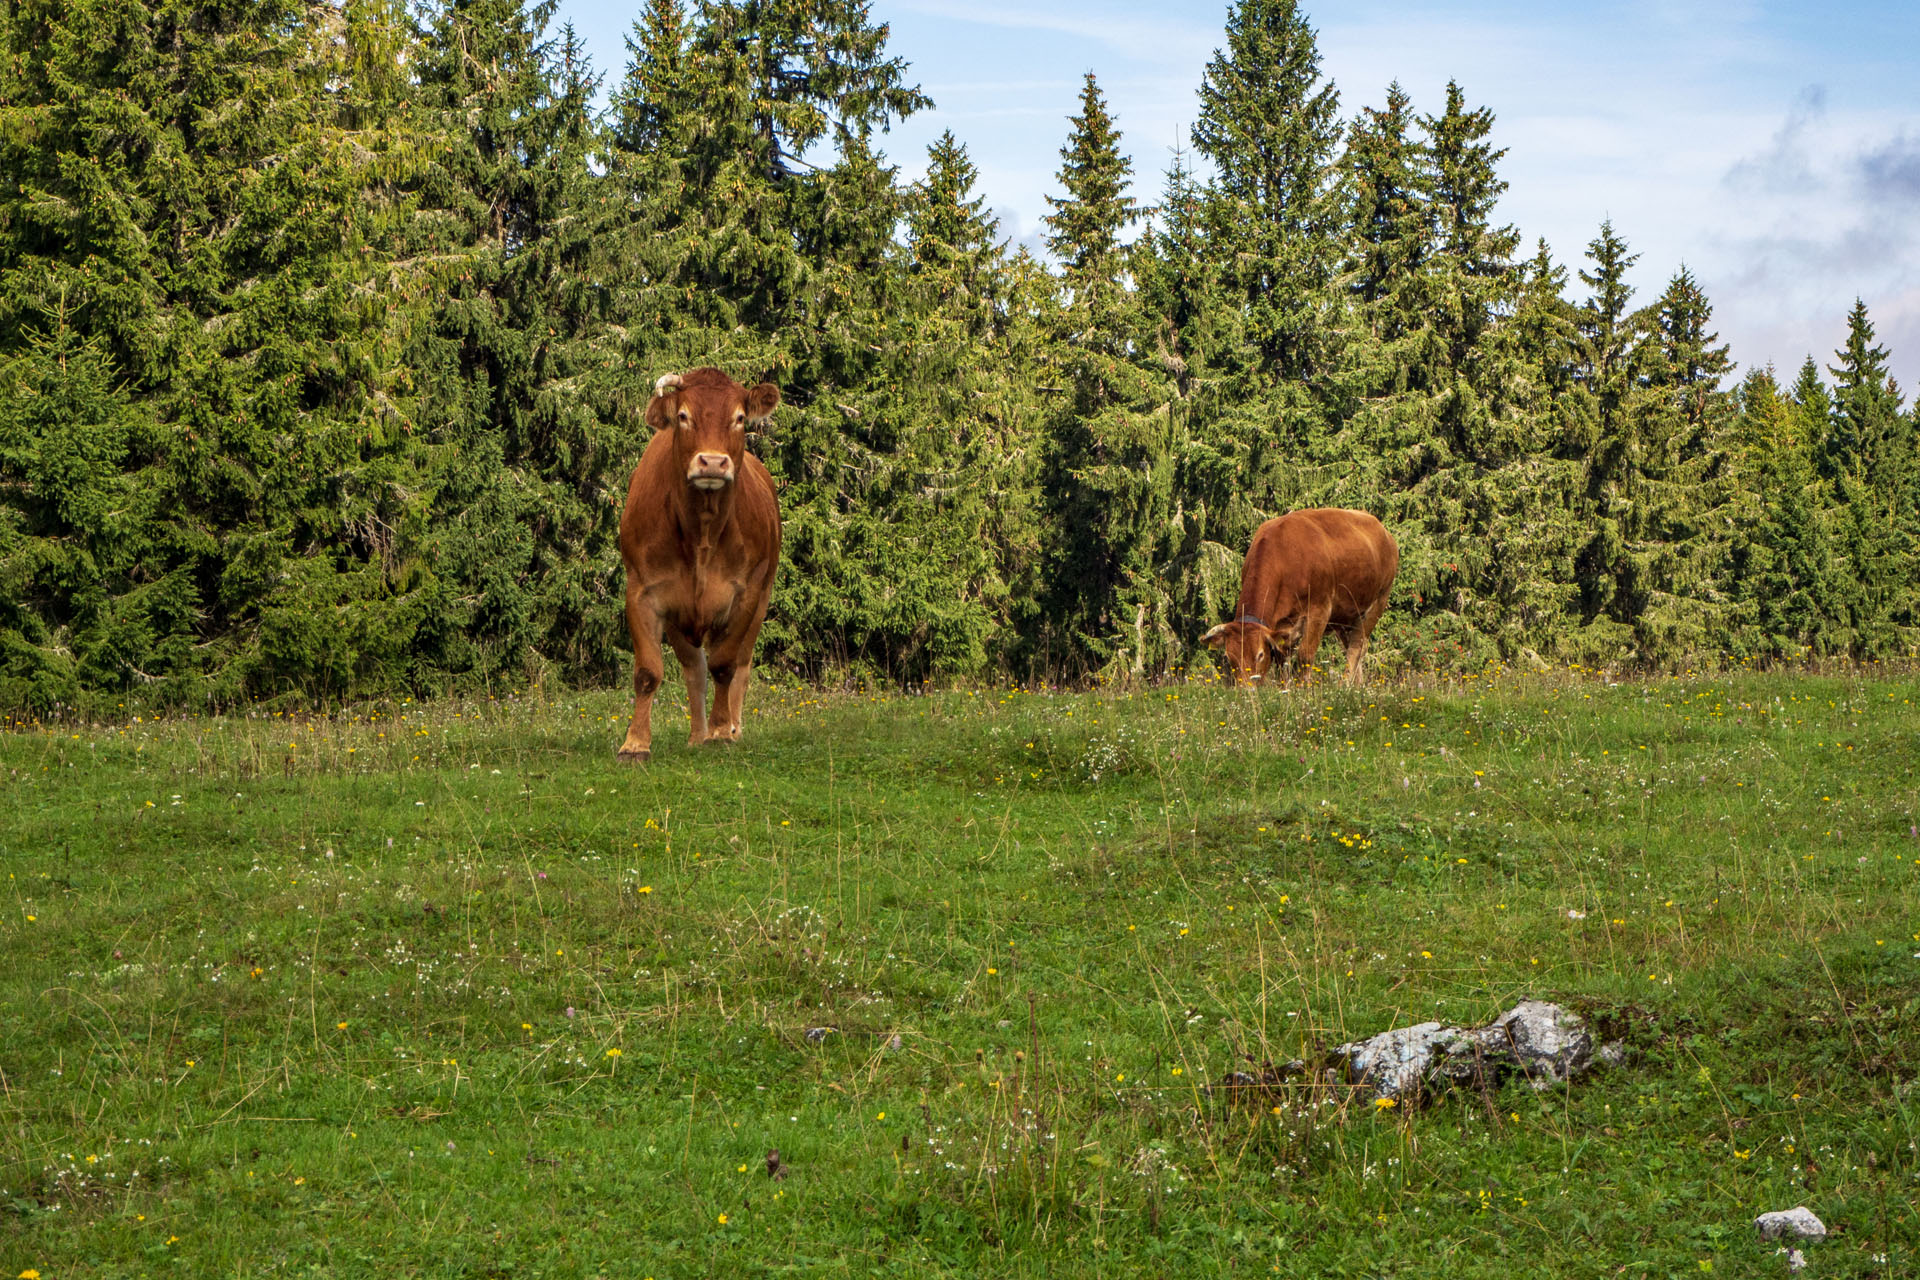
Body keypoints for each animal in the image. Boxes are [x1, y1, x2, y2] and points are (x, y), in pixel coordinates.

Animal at [614, 364, 779, 759]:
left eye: (739, 418)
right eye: (684, 416)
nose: (714, 462)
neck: (701, 533)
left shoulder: (746, 595)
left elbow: (725, 664)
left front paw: (720, 731)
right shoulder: (642, 593)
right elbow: (648, 671)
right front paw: (635, 741)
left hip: (763, 598)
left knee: (741, 665)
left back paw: (731, 727)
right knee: (695, 670)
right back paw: (696, 735)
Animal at [1198, 510, 1397, 690]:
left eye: (1260, 655)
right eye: (1229, 657)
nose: (1247, 691)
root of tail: (1384, 532)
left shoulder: (1319, 610)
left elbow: (1304, 657)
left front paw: (1304, 692)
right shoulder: (1281, 627)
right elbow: (1281, 661)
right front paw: (1285, 691)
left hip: (1378, 602)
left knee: (1355, 648)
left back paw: (1345, 686)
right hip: (1346, 617)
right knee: (1357, 646)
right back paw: (1358, 687)